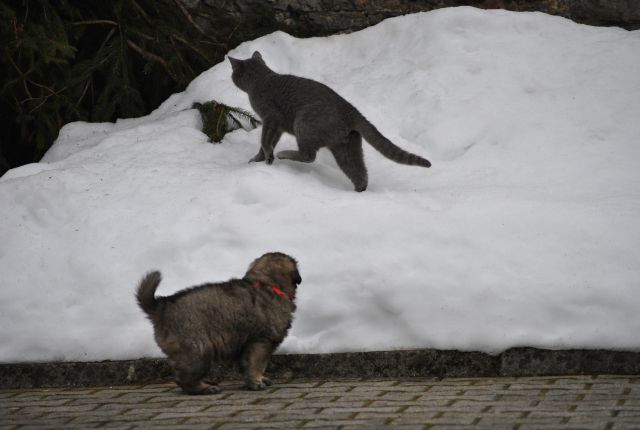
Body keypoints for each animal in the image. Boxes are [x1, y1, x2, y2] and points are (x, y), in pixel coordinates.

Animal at [135, 252, 300, 396]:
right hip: (198, 350)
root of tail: (162, 307)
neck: (268, 284)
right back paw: (205, 389)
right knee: (184, 379)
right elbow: (257, 364)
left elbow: (245, 365)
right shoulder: (261, 341)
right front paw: (257, 382)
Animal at [228, 50, 432, 191]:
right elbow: (266, 144)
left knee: (309, 156)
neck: (261, 80)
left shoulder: (270, 119)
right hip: (346, 147)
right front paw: (259, 159)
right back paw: (359, 193)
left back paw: (284, 154)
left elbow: (265, 141)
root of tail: (350, 110)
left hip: (304, 124)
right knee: (360, 173)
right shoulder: (277, 127)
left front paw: (267, 157)